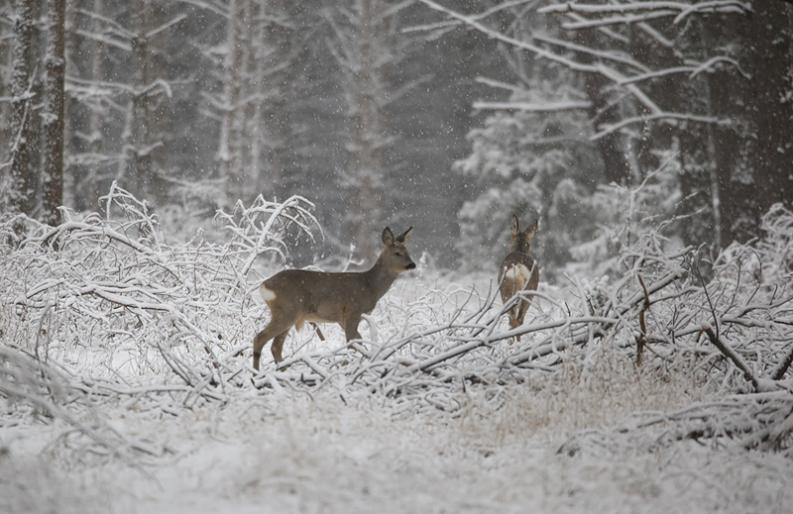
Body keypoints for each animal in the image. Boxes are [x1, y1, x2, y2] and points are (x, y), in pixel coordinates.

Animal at [252, 225, 414, 368]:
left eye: (407, 251)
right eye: (397, 253)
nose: (412, 265)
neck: (370, 286)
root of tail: (264, 285)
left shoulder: (343, 319)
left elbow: (358, 340)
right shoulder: (353, 310)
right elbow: (352, 342)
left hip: (288, 314)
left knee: (275, 347)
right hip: (287, 310)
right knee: (260, 338)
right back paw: (256, 375)